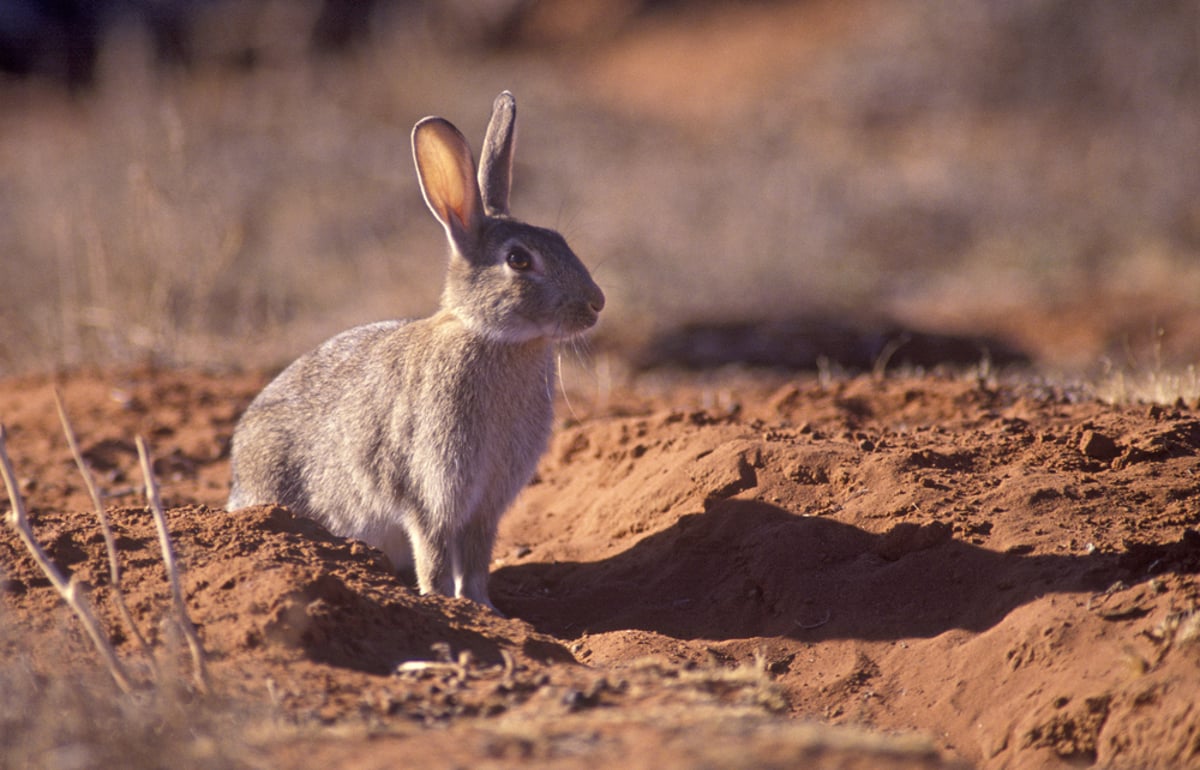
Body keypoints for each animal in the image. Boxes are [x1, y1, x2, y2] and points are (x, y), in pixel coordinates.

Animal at [225, 89, 604, 609]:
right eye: (519, 259)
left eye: (562, 240)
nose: (596, 304)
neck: (490, 336)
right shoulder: (431, 490)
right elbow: (436, 554)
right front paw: (444, 603)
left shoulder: (486, 504)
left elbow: (477, 560)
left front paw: (485, 608)